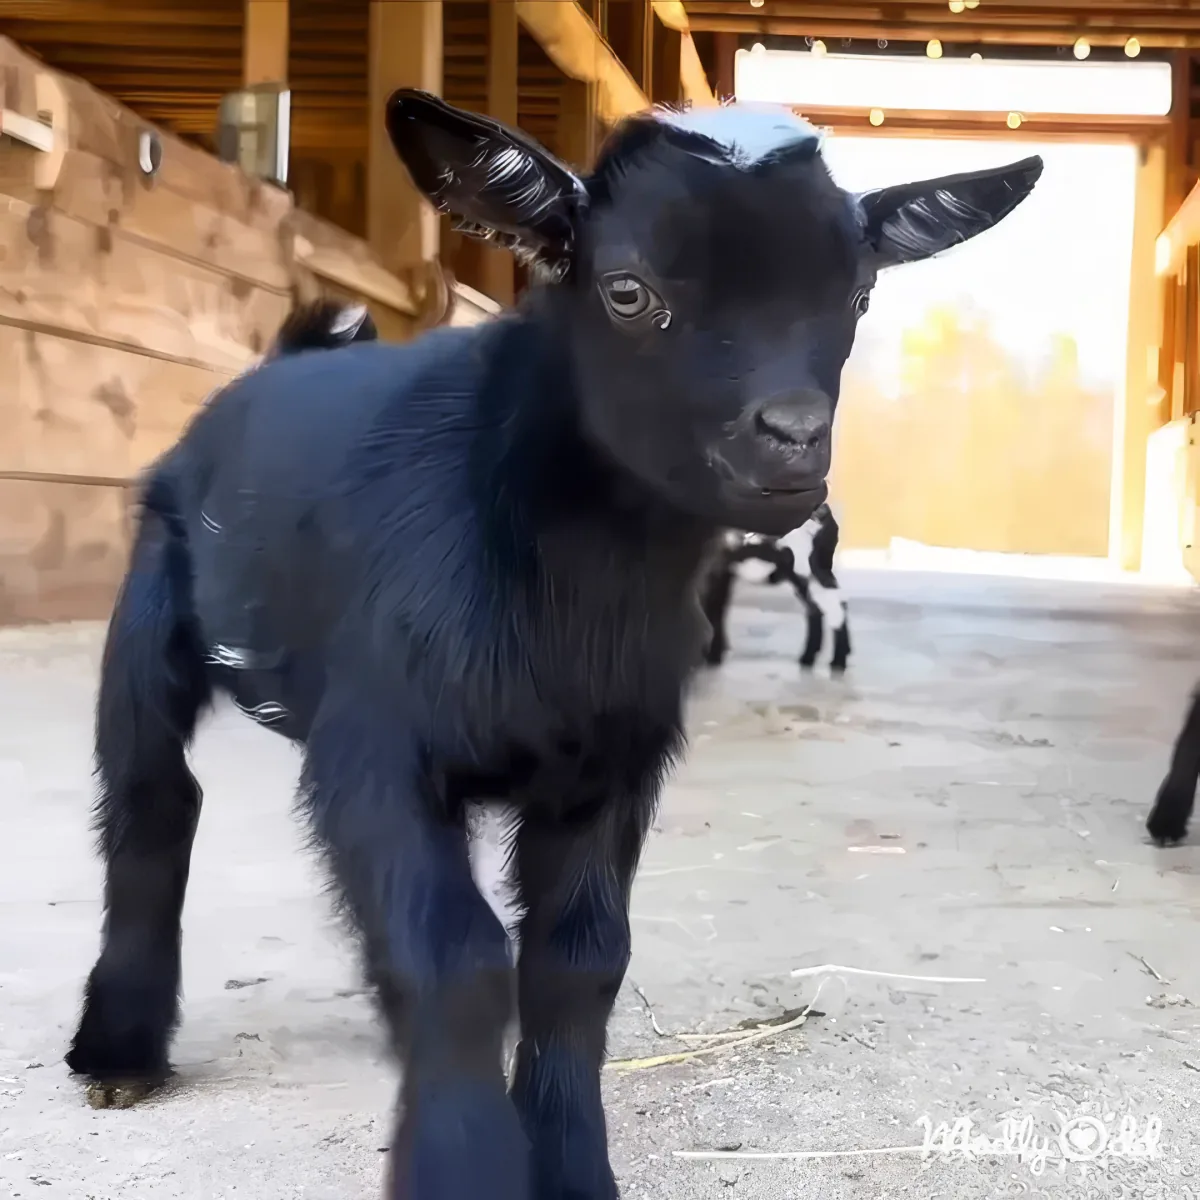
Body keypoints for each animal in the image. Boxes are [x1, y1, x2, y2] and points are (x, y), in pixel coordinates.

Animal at [701, 503, 850, 673]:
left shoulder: (715, 567)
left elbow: (713, 610)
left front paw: (713, 657)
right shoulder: (723, 570)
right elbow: (716, 609)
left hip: (807, 568)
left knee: (831, 606)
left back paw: (836, 660)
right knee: (821, 607)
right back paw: (812, 658)